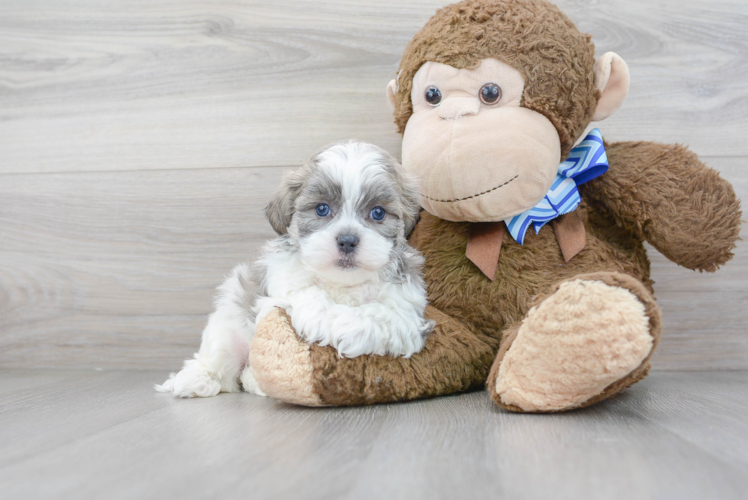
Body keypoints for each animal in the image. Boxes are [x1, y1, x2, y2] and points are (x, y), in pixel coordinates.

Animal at [157, 141, 436, 398]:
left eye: (378, 213)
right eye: (322, 209)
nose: (347, 240)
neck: (342, 283)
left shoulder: (407, 314)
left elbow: (379, 317)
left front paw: (344, 326)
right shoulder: (281, 285)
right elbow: (309, 300)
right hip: (228, 323)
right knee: (220, 358)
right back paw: (197, 378)